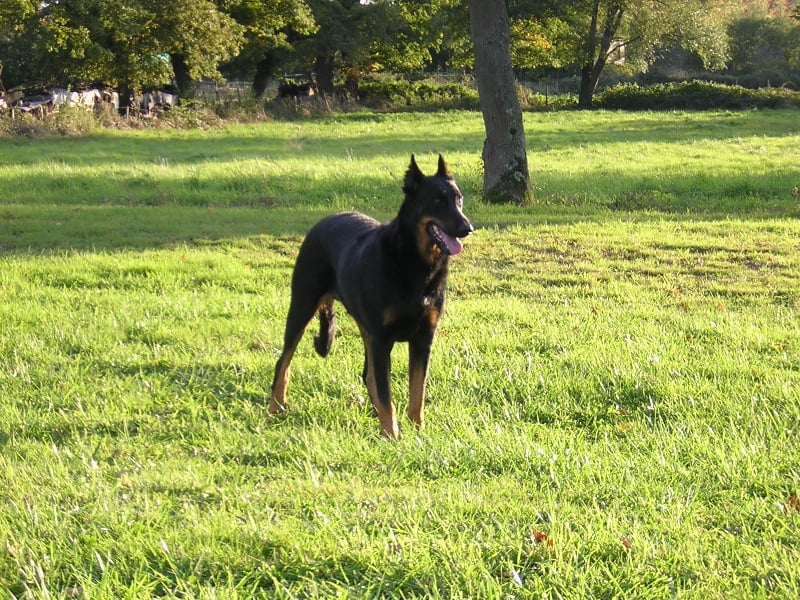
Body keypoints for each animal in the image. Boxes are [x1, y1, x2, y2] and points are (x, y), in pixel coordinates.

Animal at [268, 154, 472, 436]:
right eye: (437, 201)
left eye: (458, 199)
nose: (467, 227)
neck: (415, 262)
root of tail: (322, 221)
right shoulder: (382, 340)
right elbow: (387, 393)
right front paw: (392, 434)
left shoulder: (422, 338)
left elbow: (417, 391)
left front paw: (416, 429)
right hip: (302, 305)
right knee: (284, 360)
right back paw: (275, 406)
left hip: (364, 327)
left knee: (368, 375)